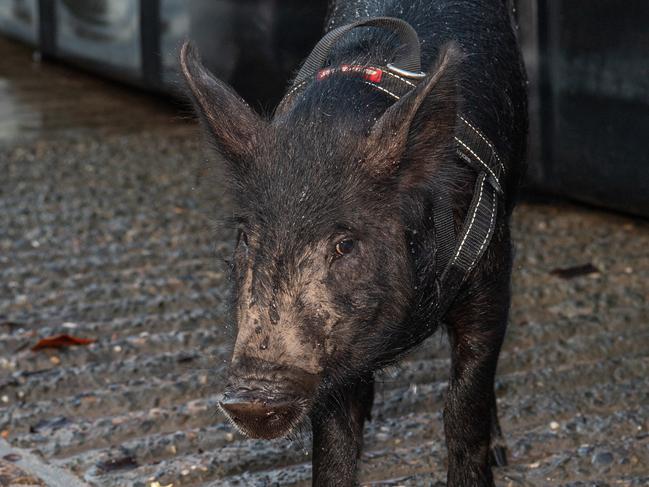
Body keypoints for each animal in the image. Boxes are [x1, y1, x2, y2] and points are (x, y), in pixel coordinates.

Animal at [180, 0, 524, 484]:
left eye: (345, 244)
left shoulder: (490, 270)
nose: (250, 398)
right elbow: (333, 444)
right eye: (246, 237)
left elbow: (464, 405)